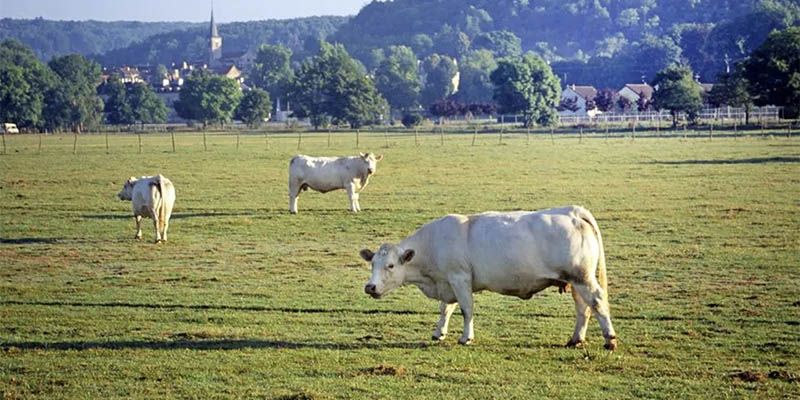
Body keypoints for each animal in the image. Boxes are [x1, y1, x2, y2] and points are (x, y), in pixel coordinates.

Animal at [360, 206, 620, 350]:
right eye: (372, 264)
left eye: (390, 265)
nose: (370, 287)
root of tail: (572, 211)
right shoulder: (449, 281)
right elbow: (446, 308)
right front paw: (439, 332)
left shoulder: (460, 278)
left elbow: (465, 309)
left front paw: (466, 337)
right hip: (576, 281)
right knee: (583, 308)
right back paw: (575, 339)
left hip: (582, 277)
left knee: (597, 302)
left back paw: (609, 339)